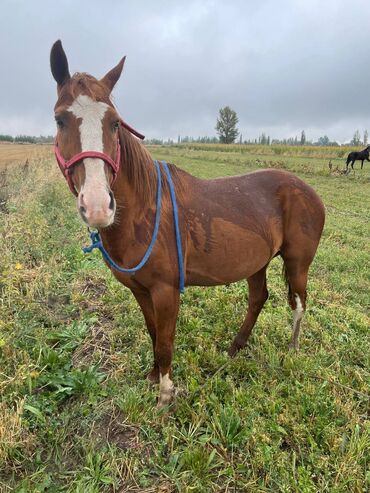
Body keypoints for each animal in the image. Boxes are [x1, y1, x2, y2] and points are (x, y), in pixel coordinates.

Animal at [50, 40, 326, 406]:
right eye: (60, 120)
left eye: (115, 123)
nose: (97, 205)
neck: (144, 212)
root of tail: (307, 190)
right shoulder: (140, 290)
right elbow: (153, 333)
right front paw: (153, 377)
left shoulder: (166, 291)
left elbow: (166, 342)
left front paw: (166, 394)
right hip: (257, 262)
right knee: (259, 298)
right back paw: (235, 347)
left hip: (298, 263)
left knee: (299, 303)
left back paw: (292, 348)